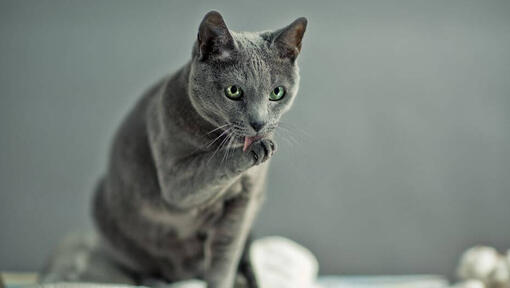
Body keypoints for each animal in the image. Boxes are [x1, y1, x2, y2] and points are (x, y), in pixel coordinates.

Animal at [39, 10, 306, 286]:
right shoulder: (175, 180)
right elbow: (212, 162)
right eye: (233, 91)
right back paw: (152, 279)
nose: (258, 123)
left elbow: (224, 258)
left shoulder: (243, 205)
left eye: (277, 93)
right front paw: (256, 148)